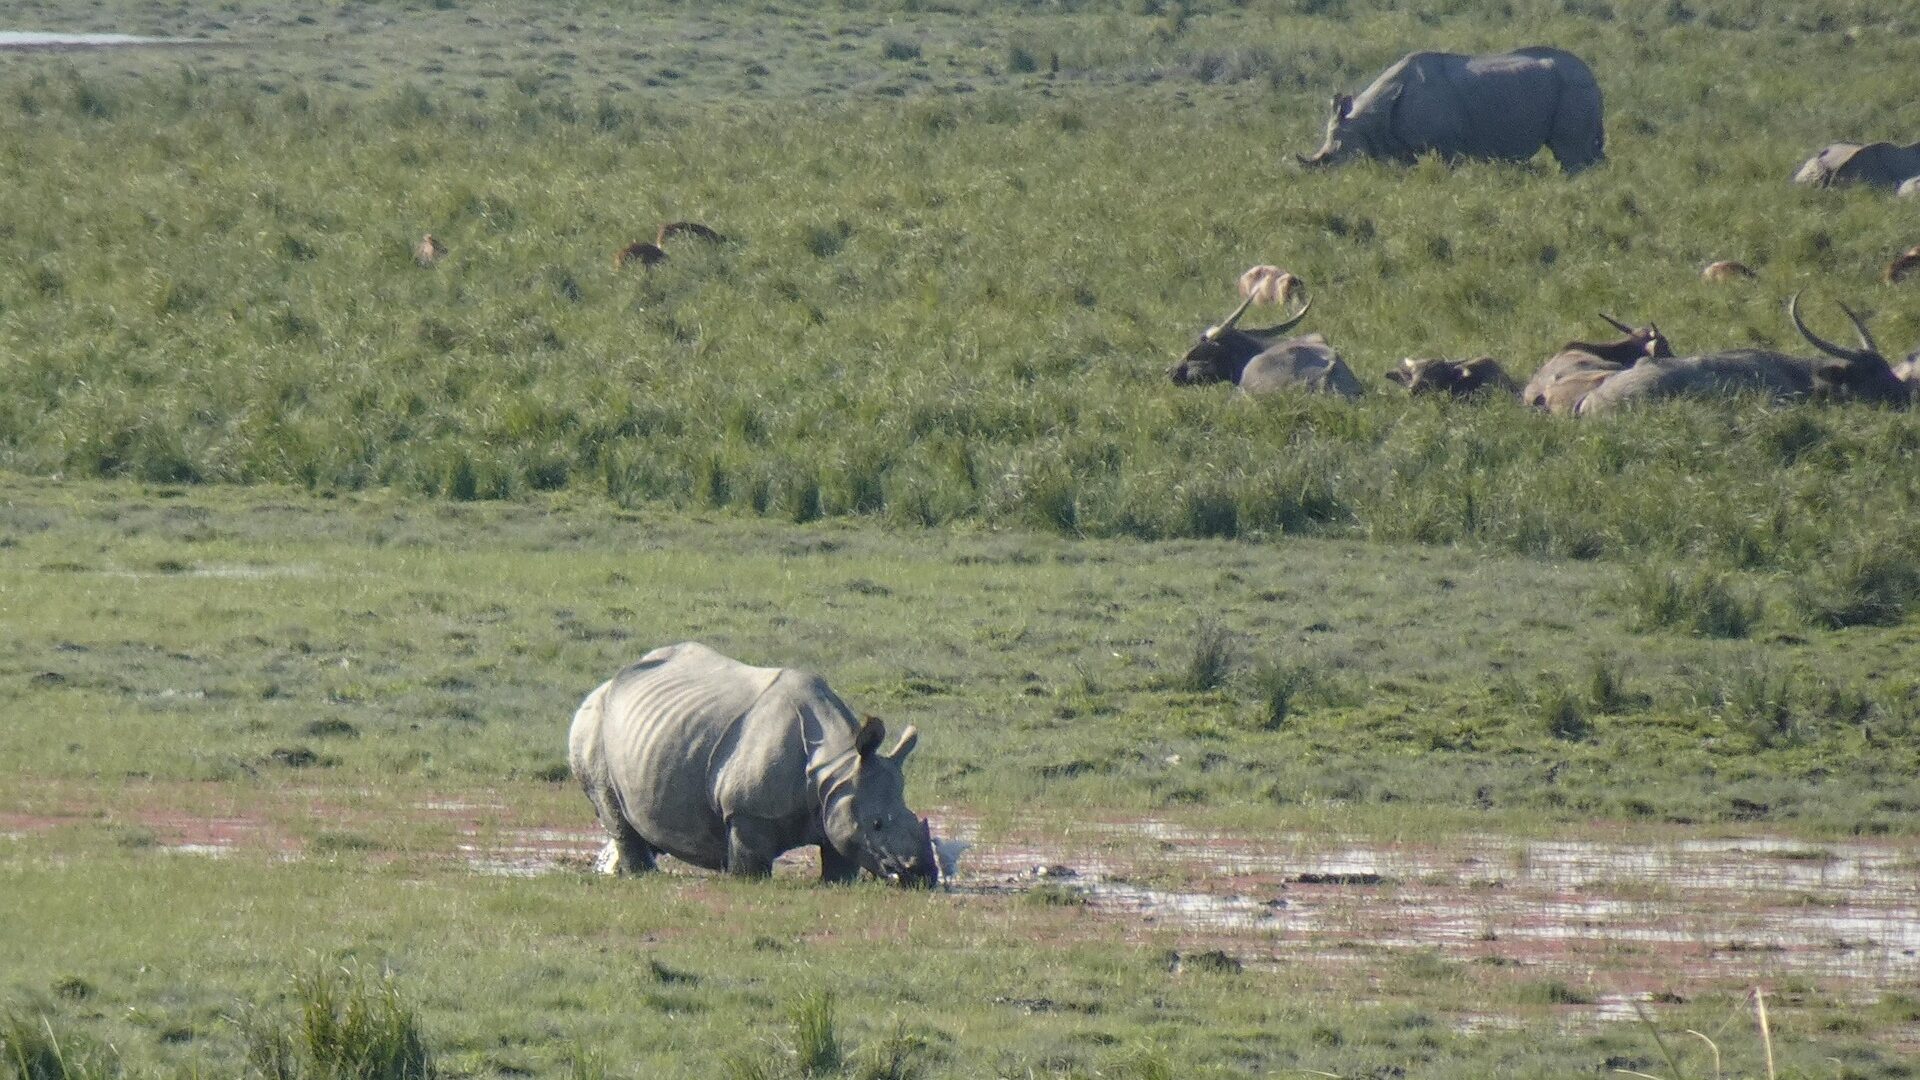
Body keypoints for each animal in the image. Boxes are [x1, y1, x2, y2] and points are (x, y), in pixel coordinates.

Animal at [568, 642, 939, 886]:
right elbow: (751, 865)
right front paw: (746, 881)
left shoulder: (839, 804)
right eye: (876, 824)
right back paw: (641, 876)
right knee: (612, 805)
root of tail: (603, 685)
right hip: (592, 722)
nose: (923, 875)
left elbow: (841, 857)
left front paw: (834, 883)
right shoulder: (747, 812)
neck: (838, 765)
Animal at [1299, 47, 1604, 173]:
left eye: (1335, 152)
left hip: (1573, 88)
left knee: (1571, 153)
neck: (1367, 119)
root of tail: (1592, 75)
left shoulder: (1448, 146)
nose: (1319, 173)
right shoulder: (1401, 146)